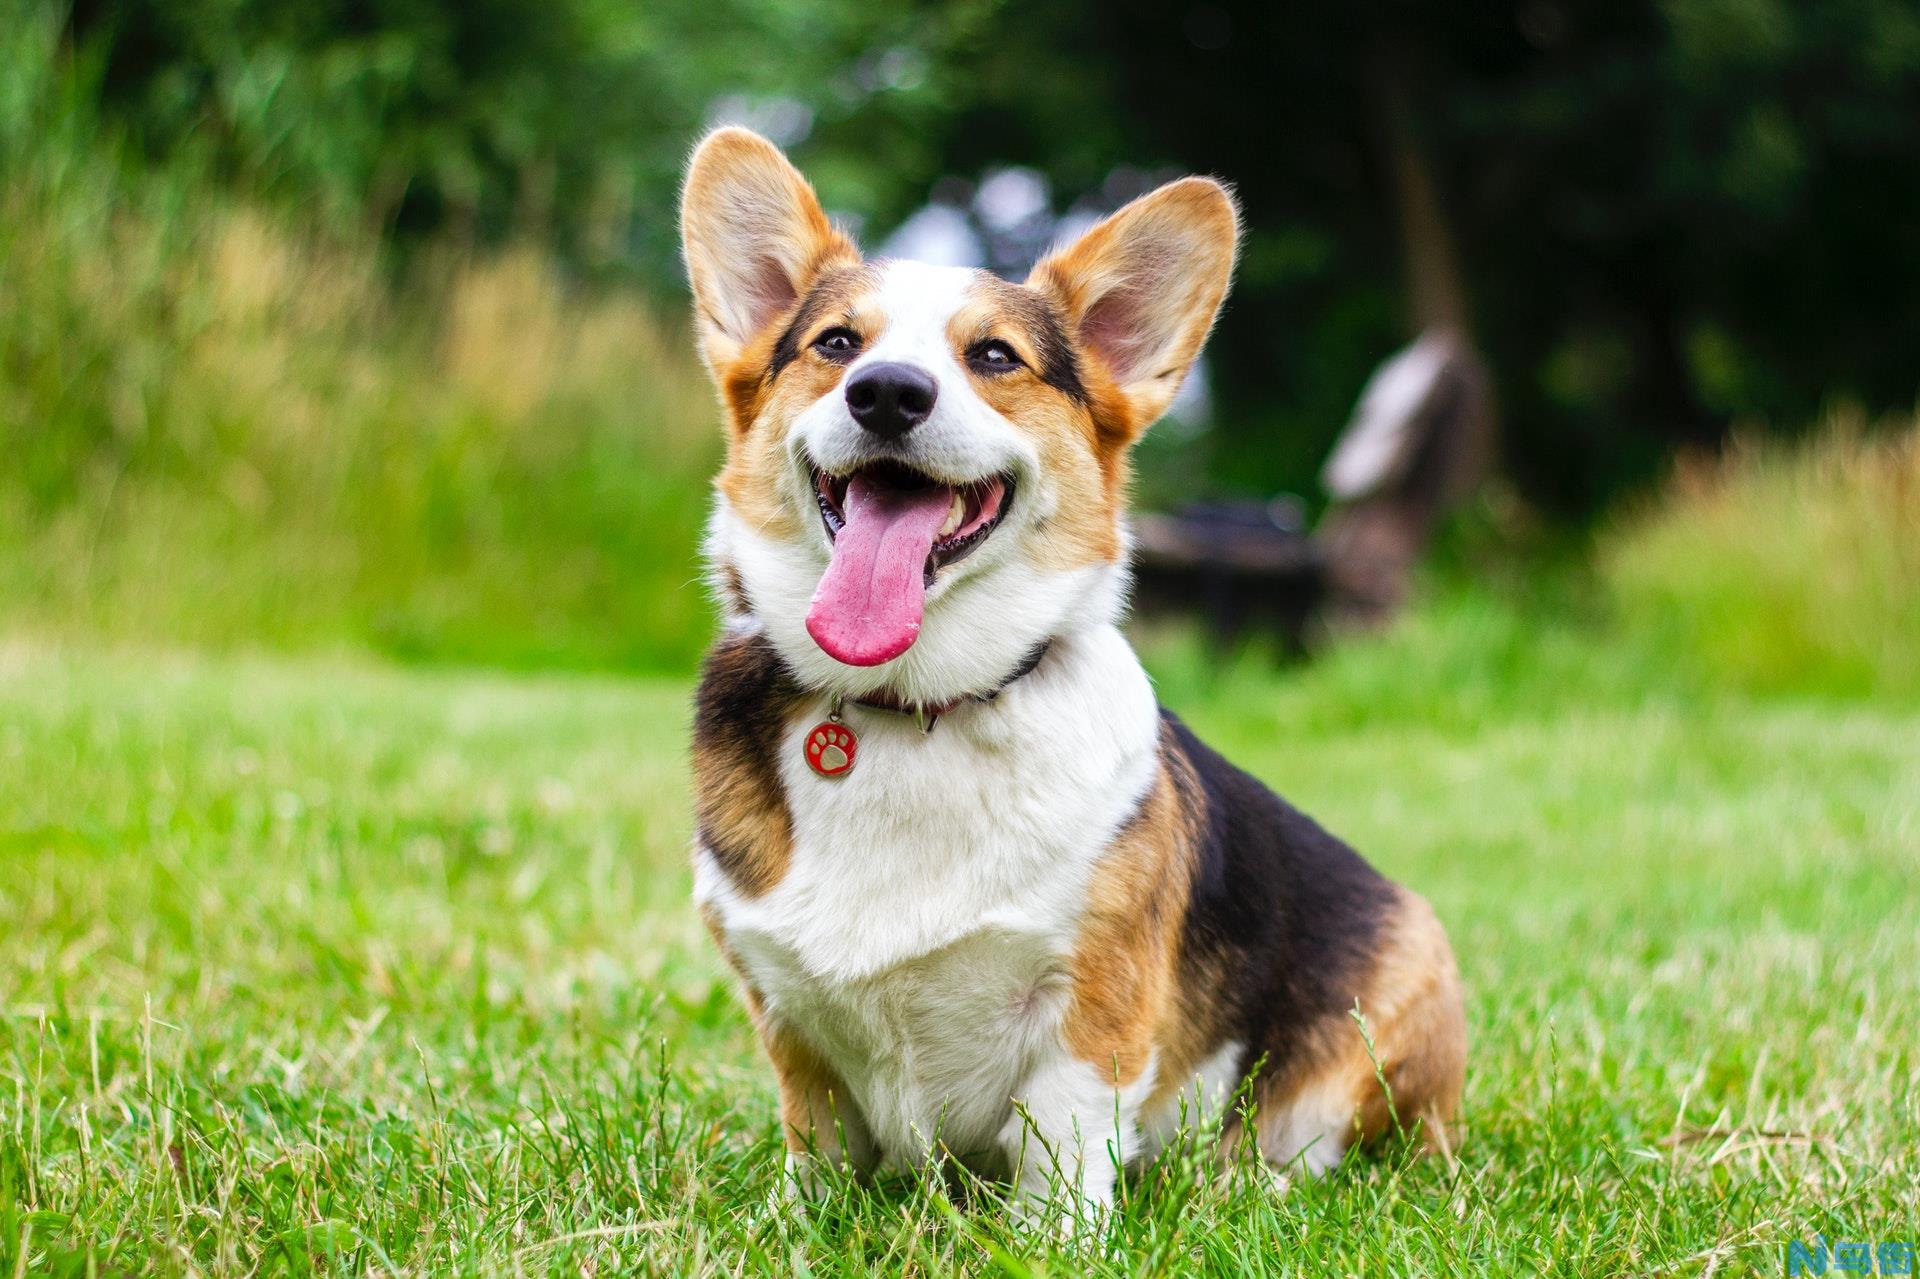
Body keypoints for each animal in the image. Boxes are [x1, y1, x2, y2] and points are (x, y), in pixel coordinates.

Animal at [683, 129, 1459, 1229]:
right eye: (836, 344)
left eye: (994, 357)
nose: (887, 391)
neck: (915, 703)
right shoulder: (785, 1013)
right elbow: (817, 1138)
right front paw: (797, 1222)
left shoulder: (1089, 1003)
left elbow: (1062, 1139)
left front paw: (1054, 1238)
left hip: (1393, 1001)